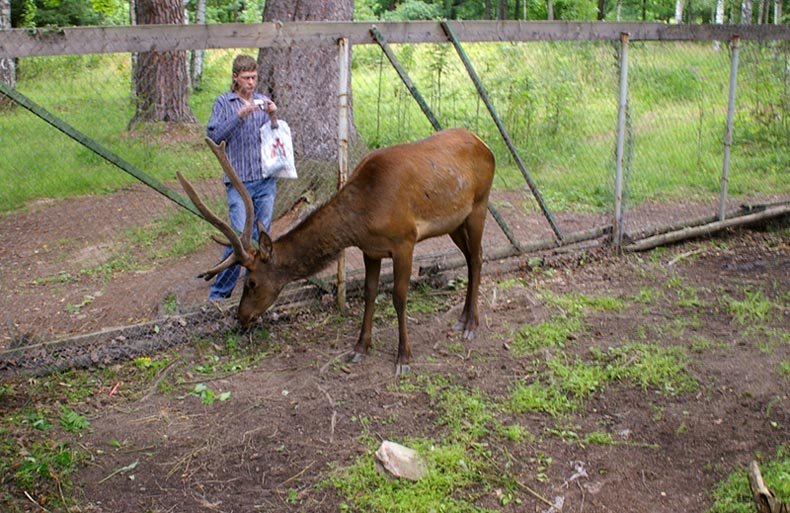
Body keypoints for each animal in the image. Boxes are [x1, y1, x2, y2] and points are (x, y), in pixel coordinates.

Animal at [181, 127, 496, 376]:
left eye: (252, 282)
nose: (241, 316)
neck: (364, 216)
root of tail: (485, 143)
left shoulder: (405, 240)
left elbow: (398, 297)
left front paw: (403, 357)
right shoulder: (371, 249)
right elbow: (370, 293)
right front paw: (359, 348)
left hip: (479, 205)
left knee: (478, 257)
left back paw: (472, 324)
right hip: (455, 222)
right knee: (470, 258)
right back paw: (463, 319)